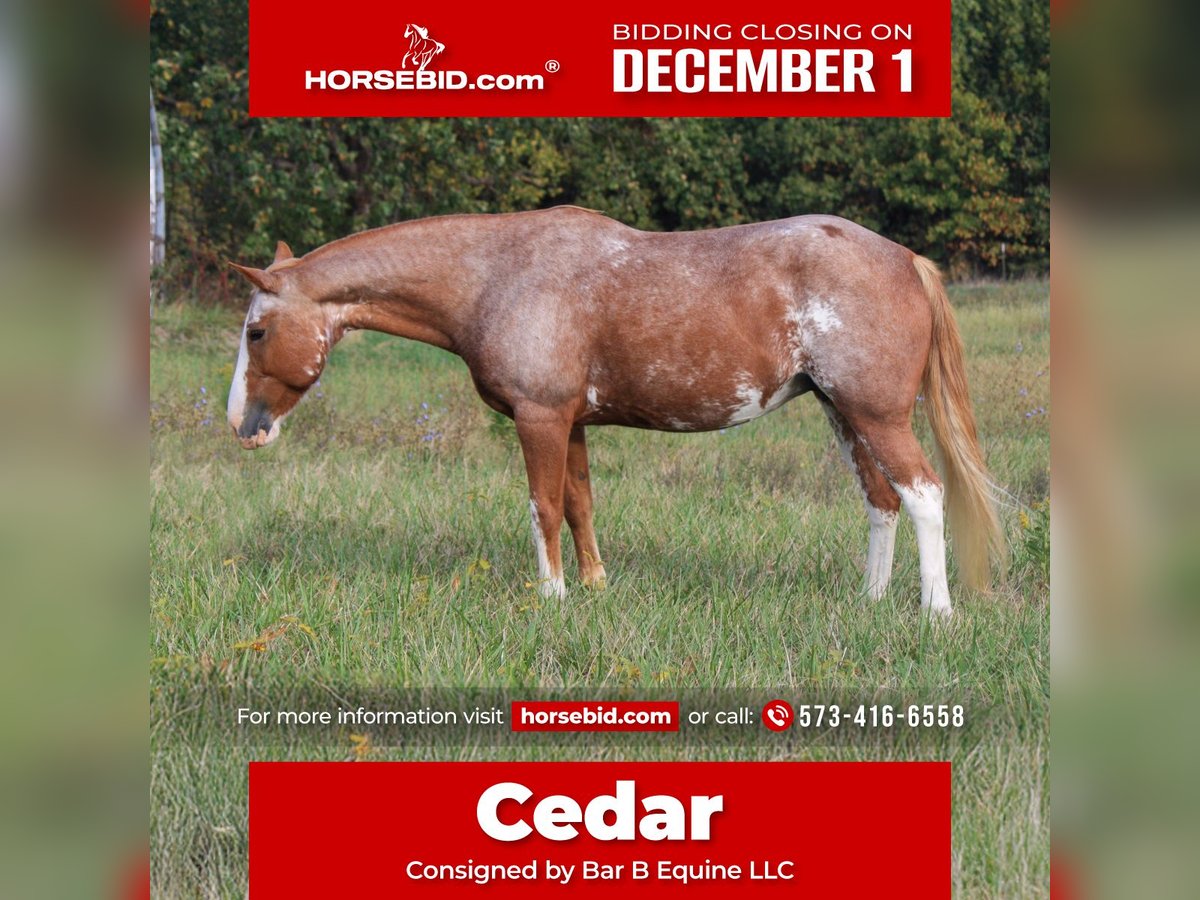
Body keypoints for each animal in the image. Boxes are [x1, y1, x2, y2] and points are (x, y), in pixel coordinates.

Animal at [226, 207, 1004, 617]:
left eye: (257, 331)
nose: (243, 426)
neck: (498, 275)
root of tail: (906, 259)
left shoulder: (539, 417)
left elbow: (542, 506)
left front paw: (551, 597)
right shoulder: (570, 422)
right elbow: (578, 503)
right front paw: (594, 586)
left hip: (877, 416)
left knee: (924, 493)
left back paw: (935, 612)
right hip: (844, 415)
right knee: (881, 499)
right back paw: (870, 601)